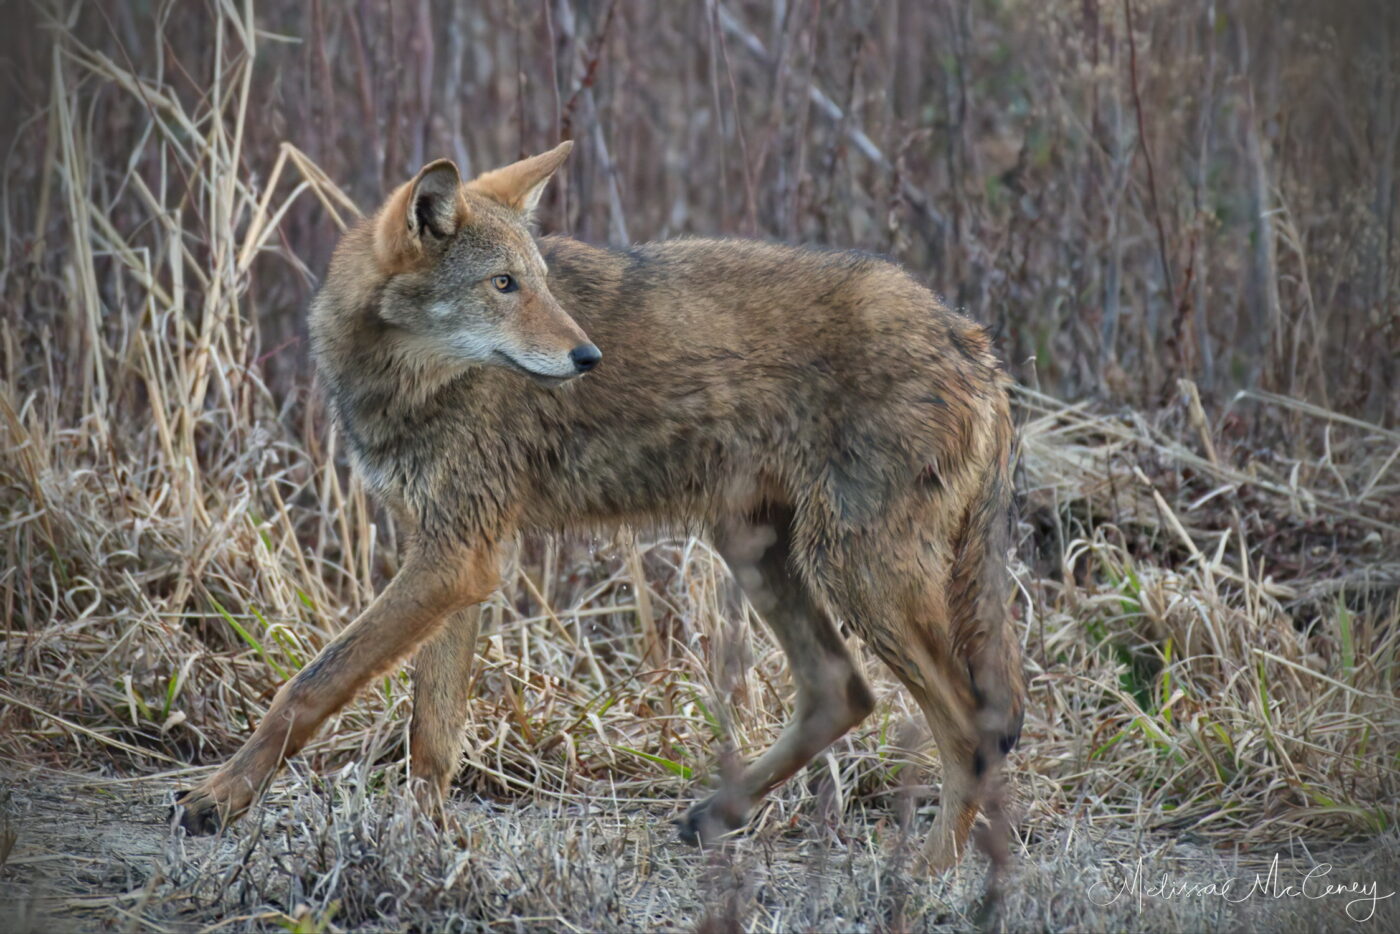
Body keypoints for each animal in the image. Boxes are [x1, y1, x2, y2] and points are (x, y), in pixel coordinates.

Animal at [177, 142, 1030, 873]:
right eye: (504, 284)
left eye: (540, 281)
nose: (588, 357)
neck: (408, 383)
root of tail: (975, 341)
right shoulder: (458, 561)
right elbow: (431, 735)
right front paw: (424, 848)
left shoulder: (456, 560)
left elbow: (310, 686)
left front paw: (218, 799)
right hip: (758, 549)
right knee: (841, 690)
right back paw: (719, 815)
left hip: (856, 574)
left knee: (970, 729)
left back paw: (924, 874)